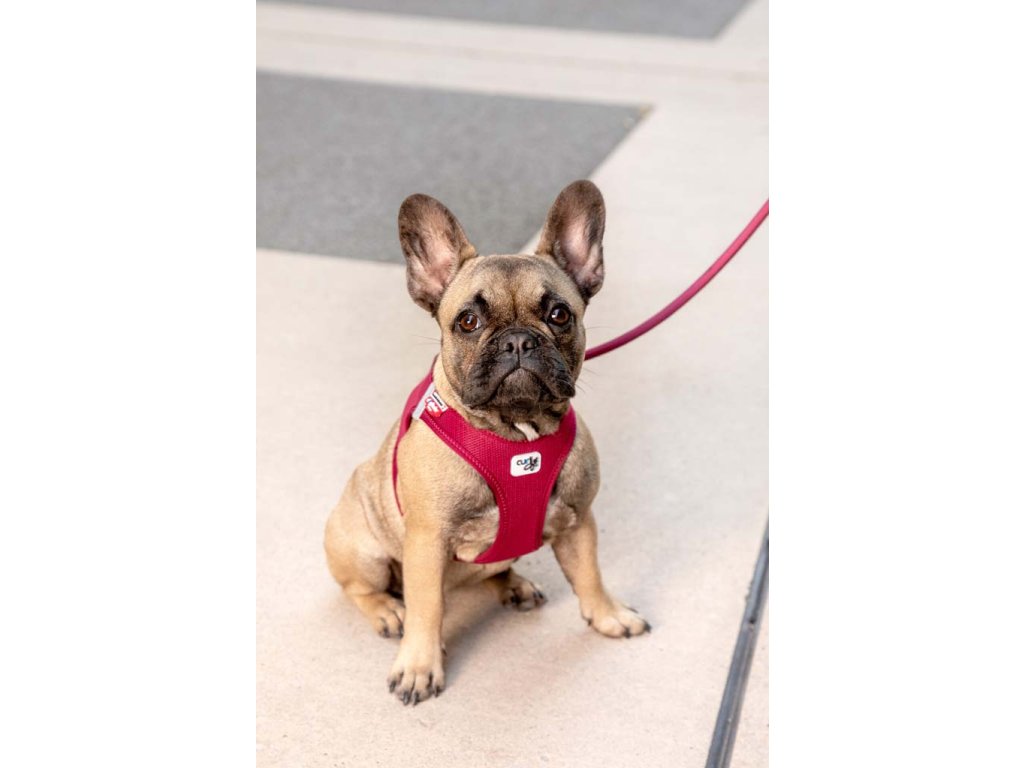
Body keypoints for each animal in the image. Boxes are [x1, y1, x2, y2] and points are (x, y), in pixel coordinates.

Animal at [324, 180, 649, 705]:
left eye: (559, 314)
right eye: (468, 322)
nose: (518, 340)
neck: (517, 434)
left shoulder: (579, 520)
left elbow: (589, 574)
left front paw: (608, 615)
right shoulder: (427, 540)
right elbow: (427, 608)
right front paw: (419, 666)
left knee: (491, 571)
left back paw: (513, 585)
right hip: (363, 549)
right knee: (363, 589)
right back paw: (388, 611)